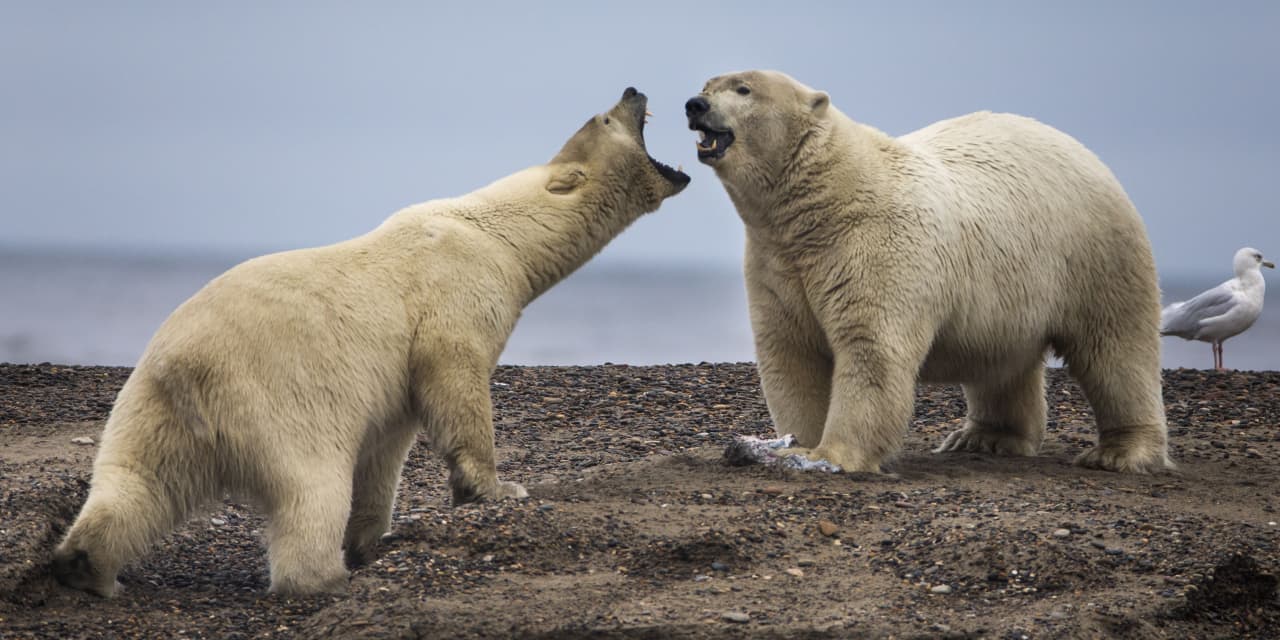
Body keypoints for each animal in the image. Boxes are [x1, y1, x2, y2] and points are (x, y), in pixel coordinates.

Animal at [52, 87, 691, 596]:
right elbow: (456, 378)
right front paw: (497, 487)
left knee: (134, 486)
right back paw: (321, 579)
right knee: (310, 490)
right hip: (278, 402)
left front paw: (371, 539)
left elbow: (385, 449)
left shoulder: (390, 386)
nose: (633, 89)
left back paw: (88, 567)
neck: (495, 230)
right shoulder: (456, 291)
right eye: (605, 117)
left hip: (148, 410)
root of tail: (186, 370)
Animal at [691, 72, 1172, 478]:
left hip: (1094, 254)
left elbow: (871, 350)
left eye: (743, 89)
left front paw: (833, 455)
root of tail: (1084, 152)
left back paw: (1120, 452)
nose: (694, 104)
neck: (825, 198)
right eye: (708, 84)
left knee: (1116, 348)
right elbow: (791, 351)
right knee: (1003, 363)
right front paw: (796, 444)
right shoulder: (777, 260)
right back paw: (983, 438)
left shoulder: (875, 246)